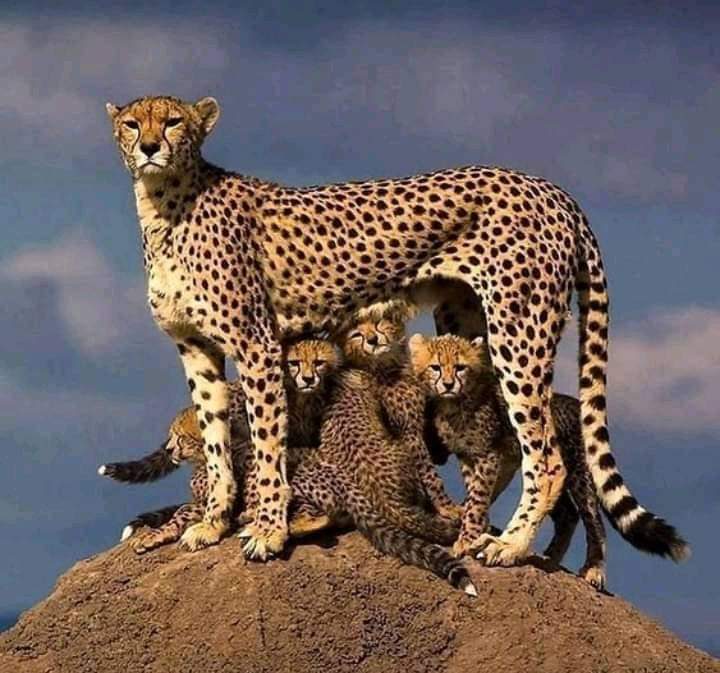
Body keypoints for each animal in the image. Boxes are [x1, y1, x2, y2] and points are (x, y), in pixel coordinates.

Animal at [106, 94, 615, 565]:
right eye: (132, 123)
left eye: (173, 121)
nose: (150, 147)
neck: (164, 203)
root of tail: (551, 189)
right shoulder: (196, 348)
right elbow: (215, 442)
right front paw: (213, 523)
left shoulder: (257, 343)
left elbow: (267, 442)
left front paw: (269, 530)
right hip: (466, 326)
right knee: (495, 447)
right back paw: (465, 528)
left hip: (519, 329)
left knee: (546, 458)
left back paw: (509, 544)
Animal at [409, 333, 690, 589]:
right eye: (435, 367)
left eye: (460, 367)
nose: (448, 384)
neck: (453, 404)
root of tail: (577, 404)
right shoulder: (468, 457)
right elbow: (473, 496)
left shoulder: (487, 455)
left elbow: (478, 498)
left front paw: (467, 539)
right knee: (566, 513)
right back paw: (549, 558)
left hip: (579, 475)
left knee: (593, 521)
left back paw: (593, 568)